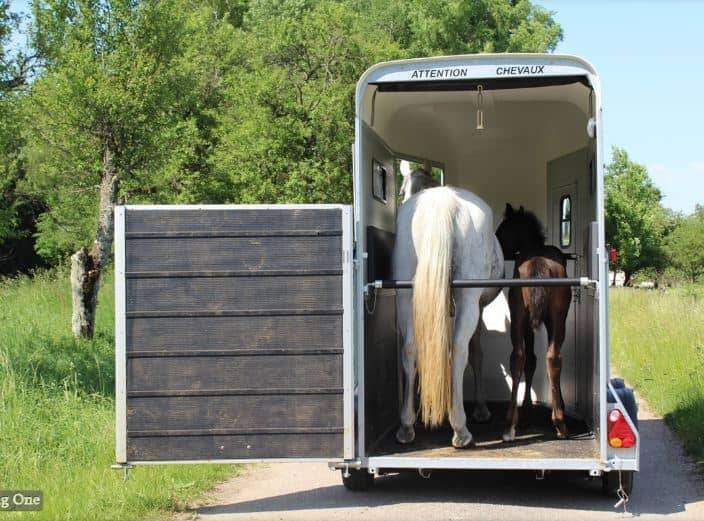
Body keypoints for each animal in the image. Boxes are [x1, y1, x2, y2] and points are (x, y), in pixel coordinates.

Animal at [393, 184, 504, 448]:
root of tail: (443, 201)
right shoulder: (479, 308)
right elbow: (476, 353)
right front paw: (481, 409)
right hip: (468, 299)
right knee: (459, 348)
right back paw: (461, 429)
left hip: (405, 296)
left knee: (410, 349)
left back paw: (406, 426)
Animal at [494, 203, 572, 442]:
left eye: (502, 229)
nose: (496, 245)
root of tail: (540, 264)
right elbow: (532, 360)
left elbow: (529, 360)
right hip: (556, 319)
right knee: (549, 358)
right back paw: (558, 421)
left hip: (521, 317)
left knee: (523, 357)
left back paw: (511, 425)